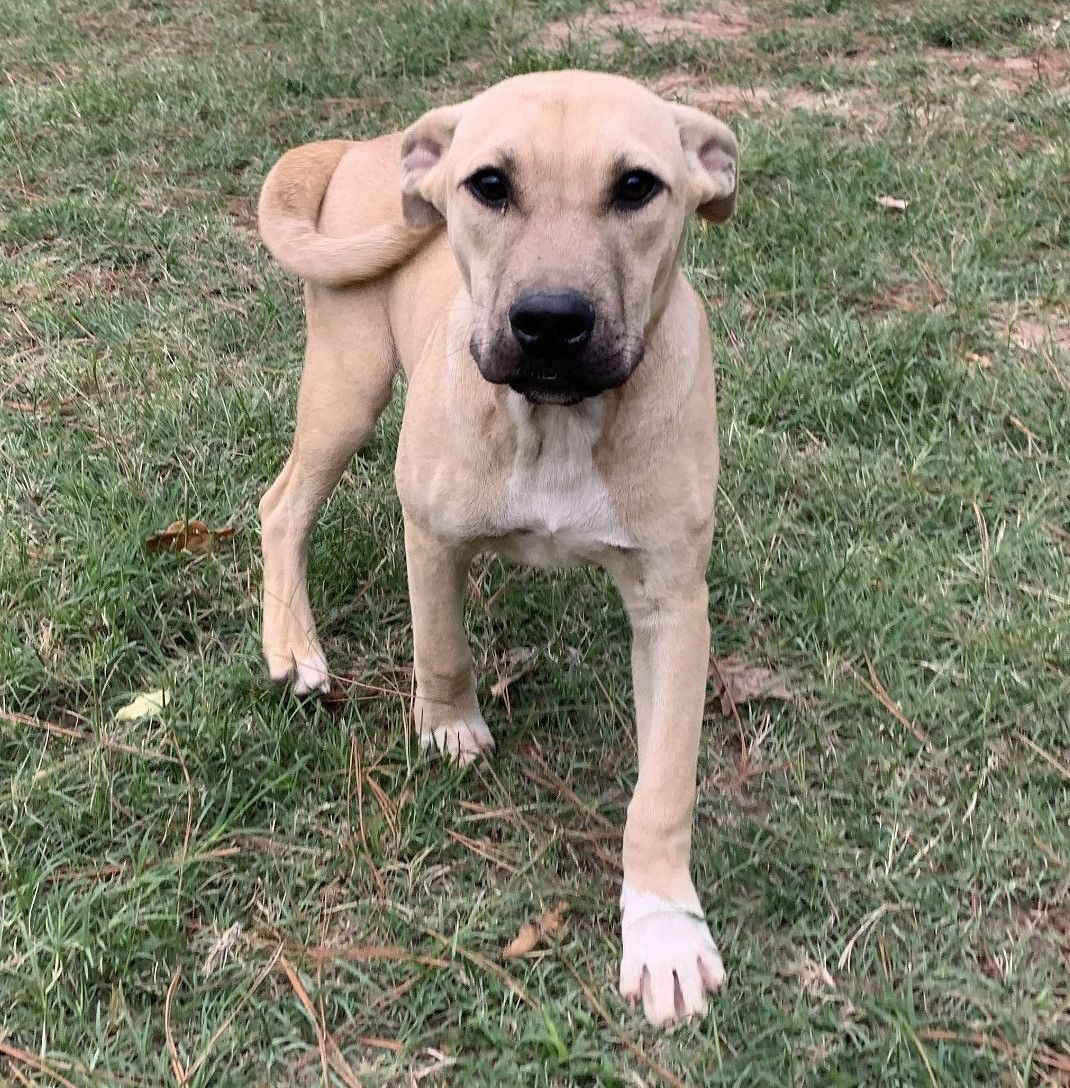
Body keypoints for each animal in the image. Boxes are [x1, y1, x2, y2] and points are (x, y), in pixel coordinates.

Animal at [255, 70, 740, 1027]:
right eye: (488, 185)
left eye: (638, 187)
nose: (550, 322)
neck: (555, 421)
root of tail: (368, 146)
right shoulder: (432, 530)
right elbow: (441, 645)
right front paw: (450, 727)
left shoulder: (673, 603)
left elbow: (662, 791)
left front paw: (664, 930)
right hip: (346, 382)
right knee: (282, 504)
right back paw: (292, 645)